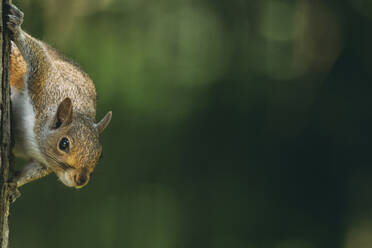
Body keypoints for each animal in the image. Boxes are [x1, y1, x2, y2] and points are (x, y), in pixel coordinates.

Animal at [5, 2, 112, 191]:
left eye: (100, 154)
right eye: (64, 144)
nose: (81, 180)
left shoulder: (44, 162)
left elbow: (33, 171)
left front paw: (13, 183)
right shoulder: (44, 83)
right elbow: (38, 55)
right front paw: (17, 29)